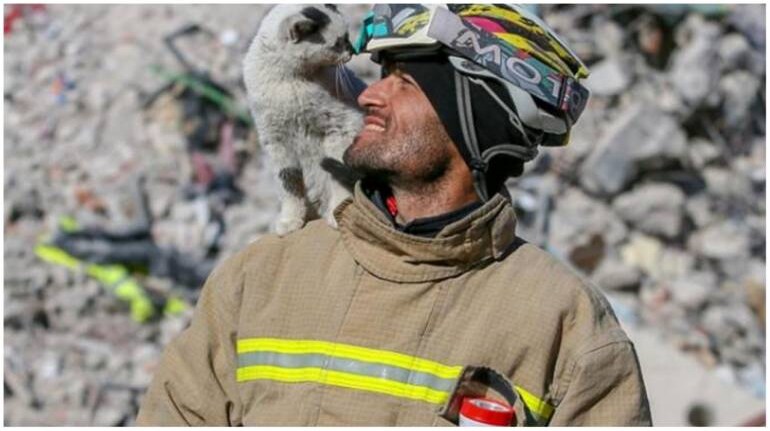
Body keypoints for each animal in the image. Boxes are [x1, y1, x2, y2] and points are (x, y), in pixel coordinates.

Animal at [246, 4, 366, 236]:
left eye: (347, 36)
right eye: (338, 43)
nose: (353, 51)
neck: (290, 80)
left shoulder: (342, 126)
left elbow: (337, 174)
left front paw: (338, 213)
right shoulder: (276, 142)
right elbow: (289, 185)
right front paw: (290, 221)